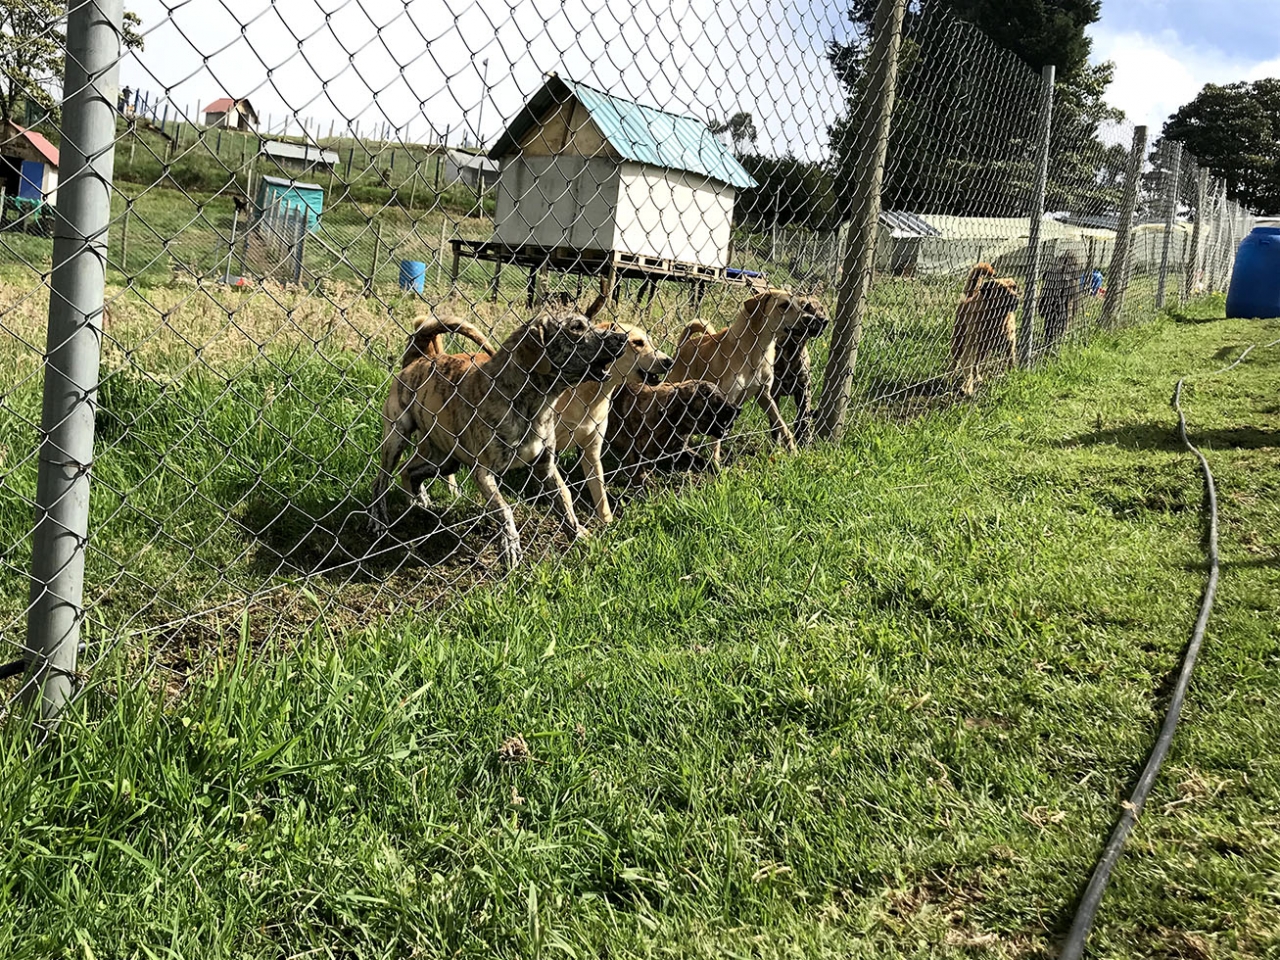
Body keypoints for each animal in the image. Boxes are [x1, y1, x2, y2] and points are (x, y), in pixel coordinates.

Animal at [371, 308, 629, 568]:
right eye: (576, 327)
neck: (531, 402)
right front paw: (511, 545)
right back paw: (379, 520)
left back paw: (419, 501)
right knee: (380, 480)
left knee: (408, 469)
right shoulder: (484, 473)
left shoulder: (546, 467)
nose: (622, 338)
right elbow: (505, 509)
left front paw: (580, 535)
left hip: (443, 460)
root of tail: (418, 358)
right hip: (396, 438)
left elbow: (565, 499)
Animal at [552, 316, 675, 527]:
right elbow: (564, 492)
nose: (669, 361)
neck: (589, 394)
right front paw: (579, 530)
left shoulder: (591, 452)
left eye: (650, 342)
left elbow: (600, 492)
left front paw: (607, 525)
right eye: (637, 342)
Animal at [665, 289, 824, 463]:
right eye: (784, 305)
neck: (755, 351)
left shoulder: (765, 395)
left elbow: (782, 425)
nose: (811, 320)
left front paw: (794, 452)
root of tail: (684, 346)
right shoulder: (726, 398)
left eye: (802, 305)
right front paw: (715, 464)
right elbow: (716, 441)